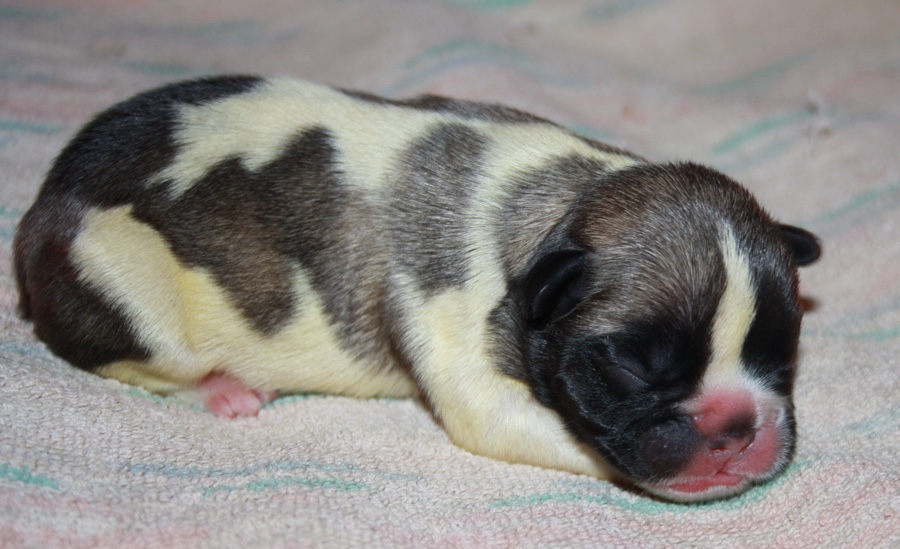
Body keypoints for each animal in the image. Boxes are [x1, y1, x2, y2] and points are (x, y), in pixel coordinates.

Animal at [14, 76, 820, 501]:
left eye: (782, 352)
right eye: (631, 365)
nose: (736, 426)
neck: (562, 202)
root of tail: (39, 214)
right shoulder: (467, 353)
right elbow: (542, 430)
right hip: (126, 282)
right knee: (132, 360)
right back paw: (223, 389)